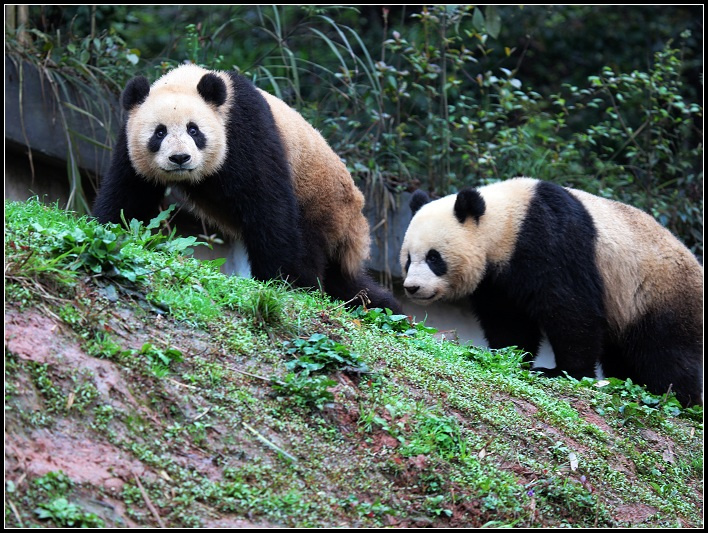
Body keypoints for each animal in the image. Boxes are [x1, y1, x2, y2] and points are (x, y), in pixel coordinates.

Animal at [91, 62, 398, 312]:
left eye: (194, 130)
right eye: (159, 132)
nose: (179, 158)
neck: (187, 81)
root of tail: (357, 212)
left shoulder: (245, 128)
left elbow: (268, 205)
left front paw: (282, 281)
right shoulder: (130, 140)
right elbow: (128, 195)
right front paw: (107, 230)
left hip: (321, 202)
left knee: (313, 250)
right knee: (343, 280)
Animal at [398, 177, 704, 406]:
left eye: (434, 258)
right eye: (409, 259)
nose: (413, 288)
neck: (505, 222)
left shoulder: (551, 240)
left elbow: (570, 308)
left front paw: (563, 372)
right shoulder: (497, 278)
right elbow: (507, 318)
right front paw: (509, 354)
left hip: (659, 294)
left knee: (666, 353)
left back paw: (680, 398)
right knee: (625, 356)